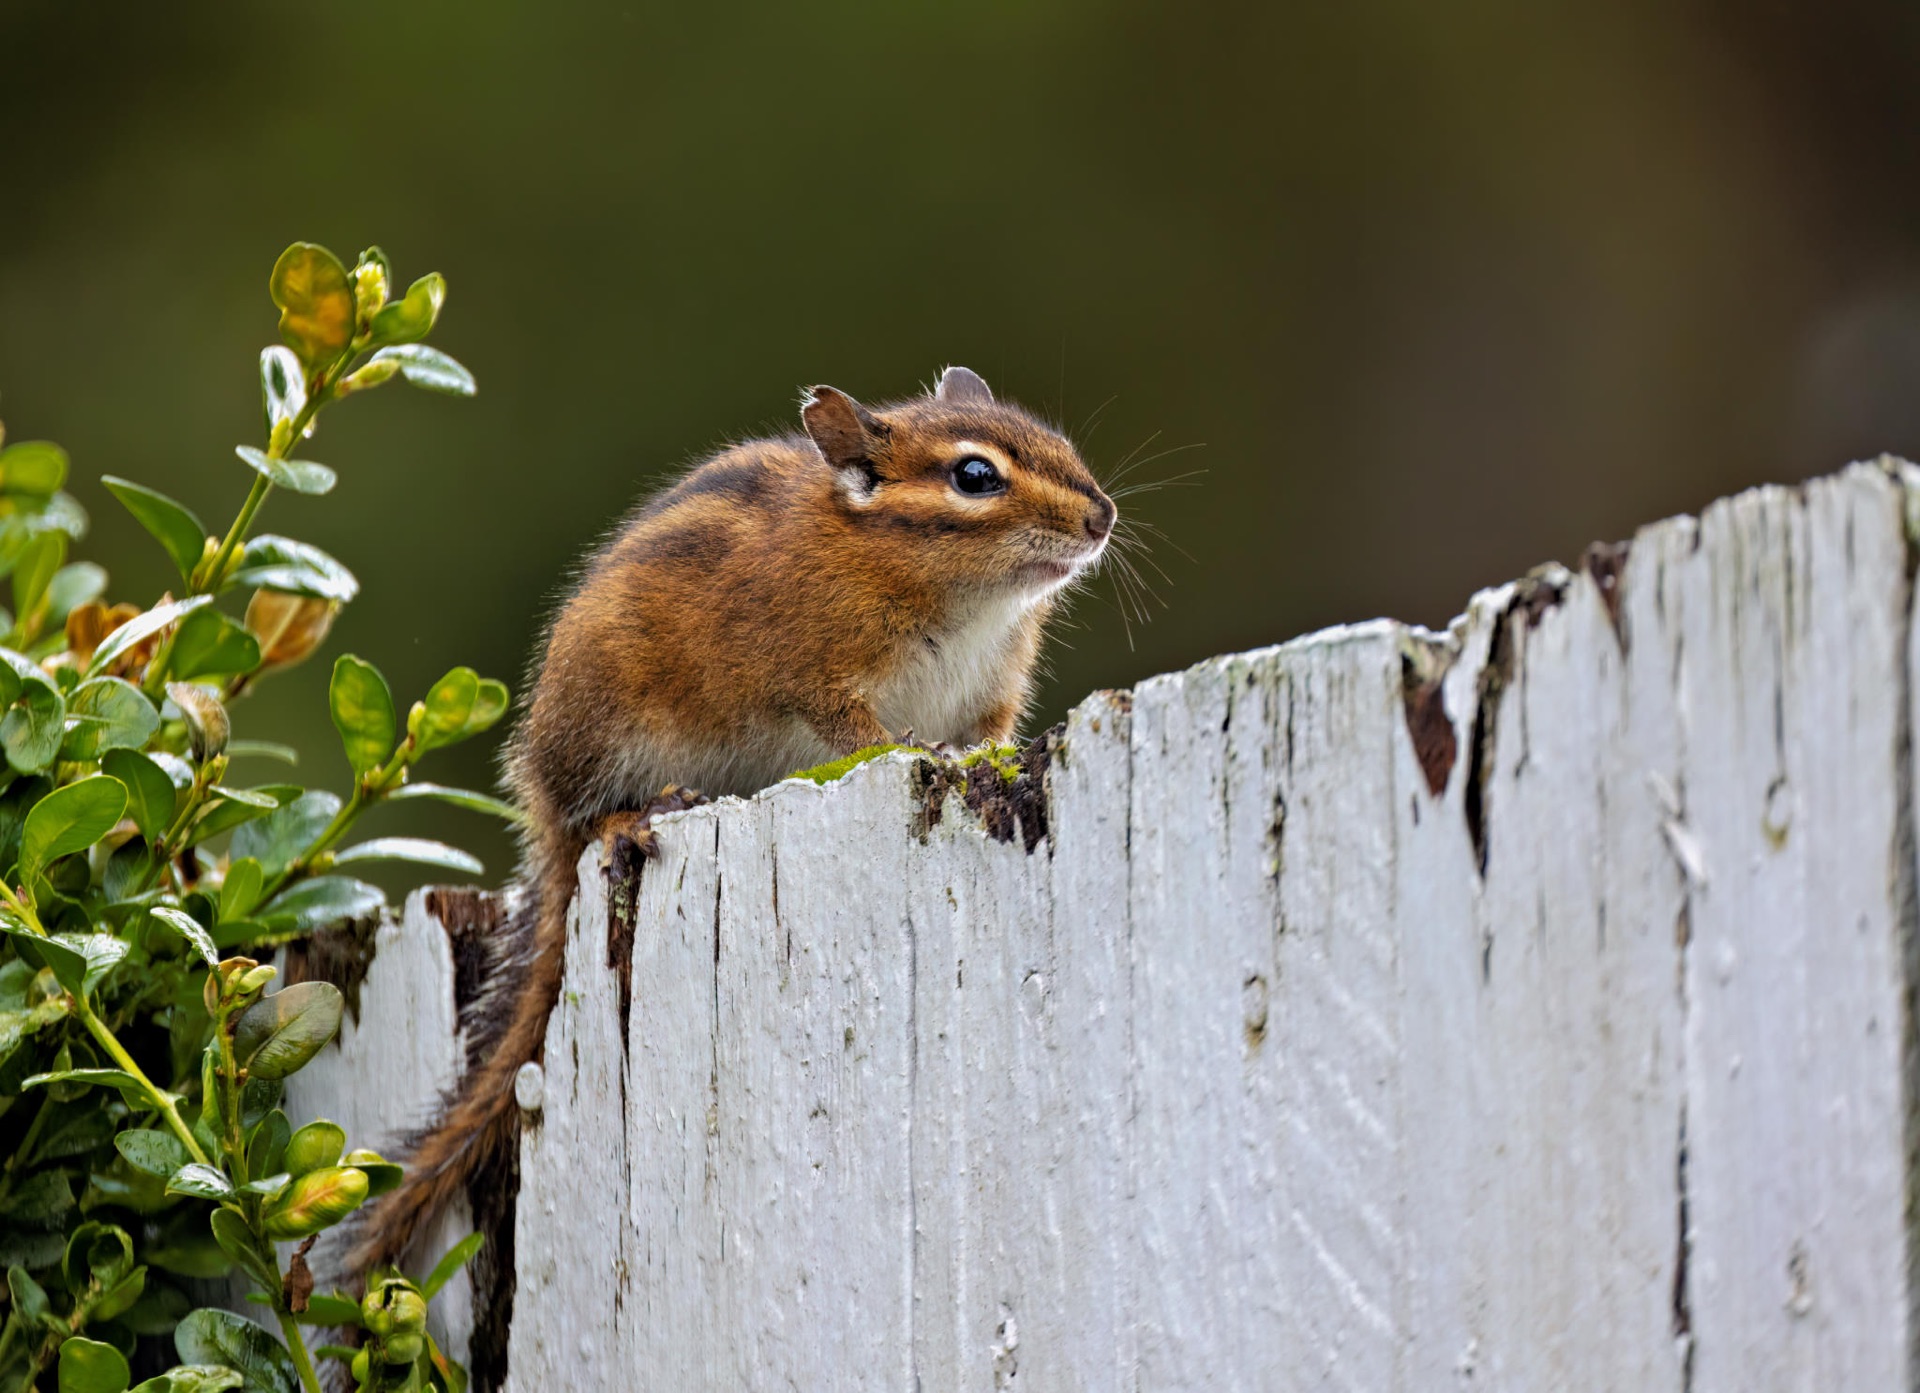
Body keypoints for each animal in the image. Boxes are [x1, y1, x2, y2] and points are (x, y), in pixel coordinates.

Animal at [350, 365, 1116, 1271]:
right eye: (974, 476)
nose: (1102, 516)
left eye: (1061, 446)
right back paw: (626, 819)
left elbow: (989, 739)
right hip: (606, 734)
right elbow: (861, 736)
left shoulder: (991, 693)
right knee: (584, 823)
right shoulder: (819, 677)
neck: (965, 600)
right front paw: (910, 748)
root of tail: (538, 801)